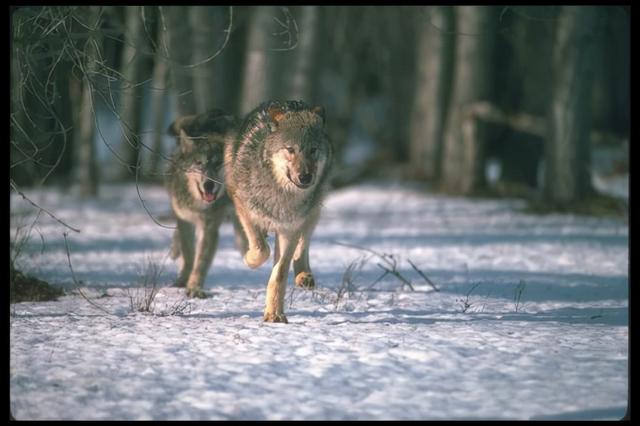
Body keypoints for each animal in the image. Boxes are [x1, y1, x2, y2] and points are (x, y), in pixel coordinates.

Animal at [165, 108, 240, 298]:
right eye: (199, 163)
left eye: (218, 164)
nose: (209, 184)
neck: (198, 204)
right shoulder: (184, 220)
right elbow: (189, 254)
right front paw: (182, 280)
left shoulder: (209, 228)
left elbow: (201, 262)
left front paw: (194, 287)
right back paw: (174, 251)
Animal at [225, 100, 332, 322]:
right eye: (290, 149)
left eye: (313, 150)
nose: (305, 177)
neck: (281, 195)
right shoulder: (242, 206)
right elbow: (260, 249)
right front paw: (249, 259)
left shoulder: (290, 227)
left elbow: (280, 272)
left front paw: (274, 314)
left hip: (314, 210)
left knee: (303, 243)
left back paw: (304, 275)